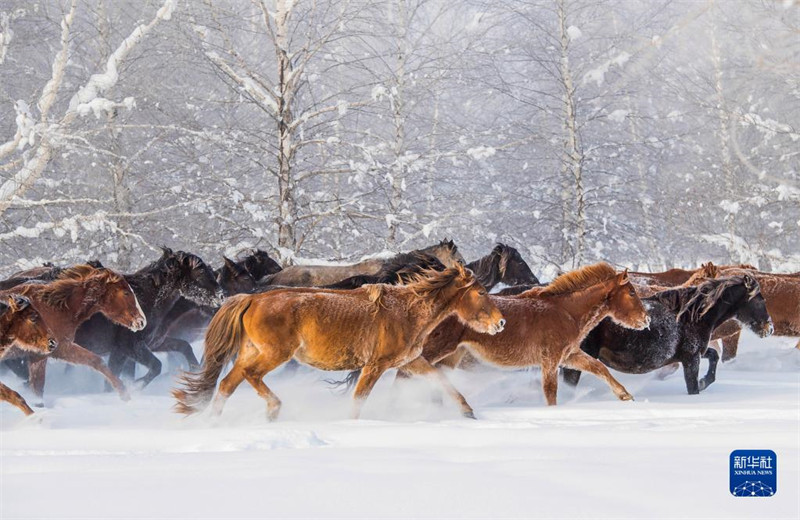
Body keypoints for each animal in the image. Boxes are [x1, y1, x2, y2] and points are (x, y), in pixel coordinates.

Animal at [0, 269, 146, 401]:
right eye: (126, 293)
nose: (141, 321)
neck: (55, 309)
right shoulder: (51, 352)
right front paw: (124, 393)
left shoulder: (50, 352)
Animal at [74, 248, 223, 388]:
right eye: (200, 272)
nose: (221, 297)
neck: (143, 300)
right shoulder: (131, 347)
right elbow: (156, 366)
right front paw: (136, 386)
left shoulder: (124, 350)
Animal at [173, 264, 505, 420]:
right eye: (481, 292)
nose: (501, 323)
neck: (406, 310)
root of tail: (252, 298)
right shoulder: (375, 365)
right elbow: (359, 398)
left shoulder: (410, 360)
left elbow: (441, 379)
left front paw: (467, 412)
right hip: (275, 354)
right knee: (249, 376)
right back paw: (273, 409)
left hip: (250, 352)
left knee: (227, 384)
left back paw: (213, 423)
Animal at [562, 275, 773, 394]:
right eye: (759, 300)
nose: (769, 328)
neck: (692, 315)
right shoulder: (691, 358)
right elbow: (692, 387)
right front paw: (700, 385)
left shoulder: (692, 354)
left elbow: (714, 356)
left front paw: (704, 381)